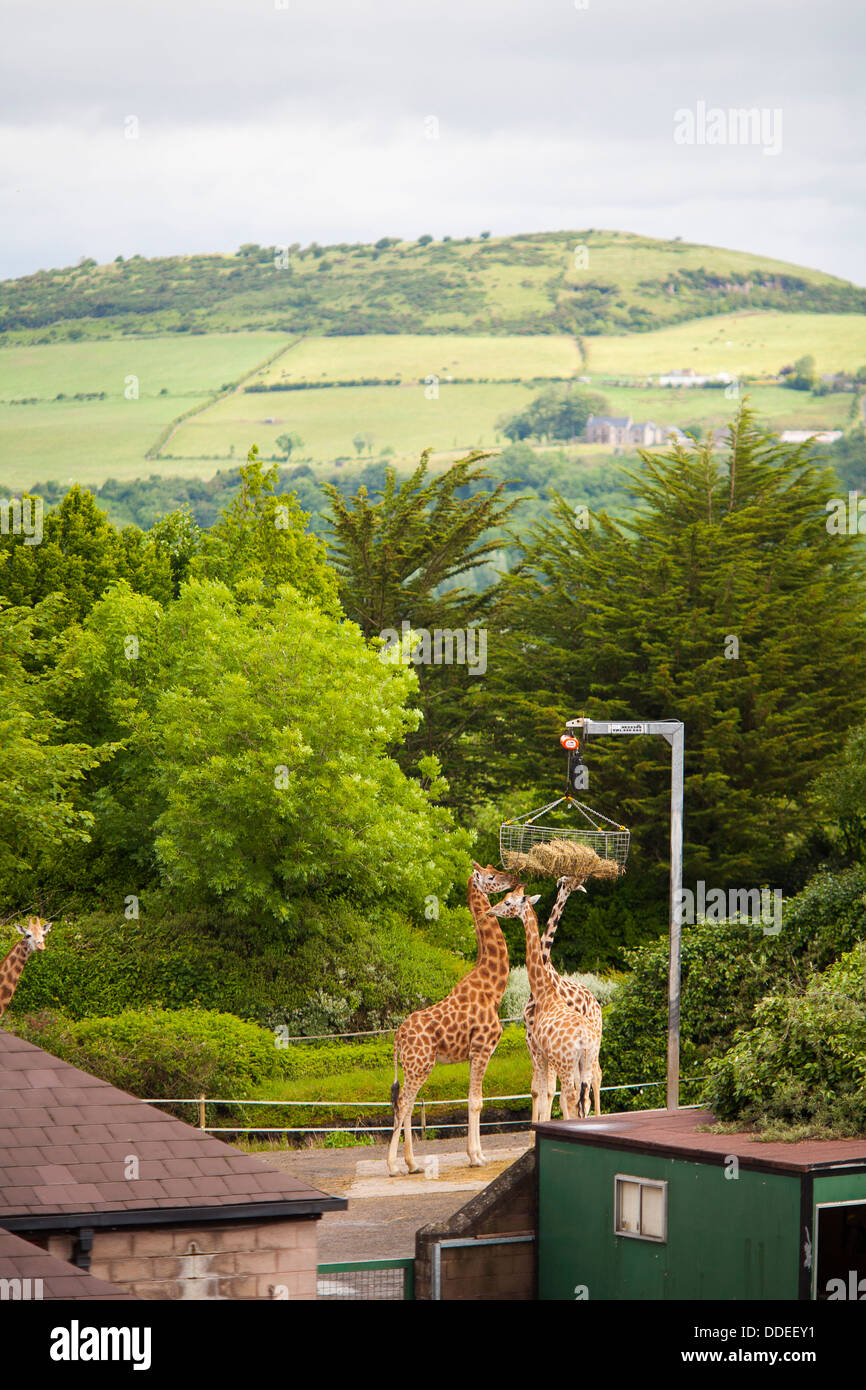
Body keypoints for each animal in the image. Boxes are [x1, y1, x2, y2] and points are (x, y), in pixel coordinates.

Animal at [387, 863, 515, 1176]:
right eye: (491, 876)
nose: (514, 877)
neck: (494, 987)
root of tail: (397, 1037)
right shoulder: (482, 1049)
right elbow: (476, 1102)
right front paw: (476, 1157)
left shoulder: (473, 1054)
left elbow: (474, 1100)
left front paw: (476, 1155)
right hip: (420, 1065)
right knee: (403, 1102)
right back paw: (394, 1166)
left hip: (416, 1066)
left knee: (407, 1104)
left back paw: (413, 1164)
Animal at [489, 884, 597, 1122]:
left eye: (508, 902)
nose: (490, 910)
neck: (544, 991)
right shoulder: (539, 1049)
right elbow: (541, 1091)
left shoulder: (538, 1050)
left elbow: (542, 1091)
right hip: (586, 1061)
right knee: (584, 1099)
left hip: (566, 1063)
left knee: (571, 1097)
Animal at [524, 876, 604, 1120]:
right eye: (564, 882)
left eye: (575, 885)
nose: (566, 889)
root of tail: (597, 1004)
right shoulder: (531, 1038)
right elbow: (538, 1089)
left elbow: (549, 1090)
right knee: (581, 1086)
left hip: (594, 1040)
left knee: (594, 1076)